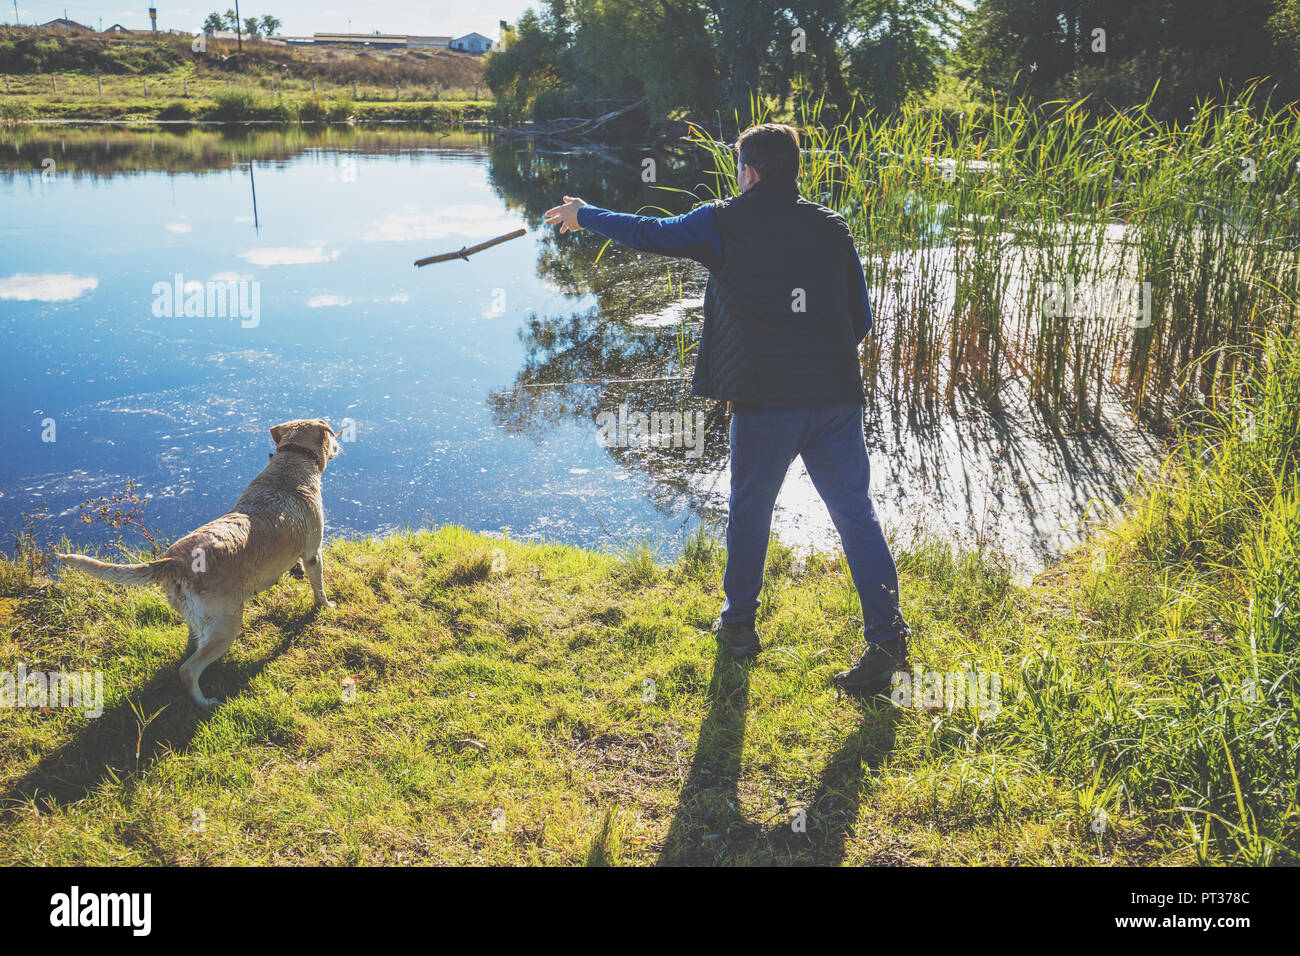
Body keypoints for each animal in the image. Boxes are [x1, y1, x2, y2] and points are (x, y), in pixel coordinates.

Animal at [57, 421, 340, 712]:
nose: (340, 445)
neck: (291, 464)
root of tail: (176, 561)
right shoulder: (313, 553)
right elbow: (318, 585)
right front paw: (326, 606)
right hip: (226, 626)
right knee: (189, 670)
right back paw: (205, 703)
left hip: (196, 618)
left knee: (190, 648)